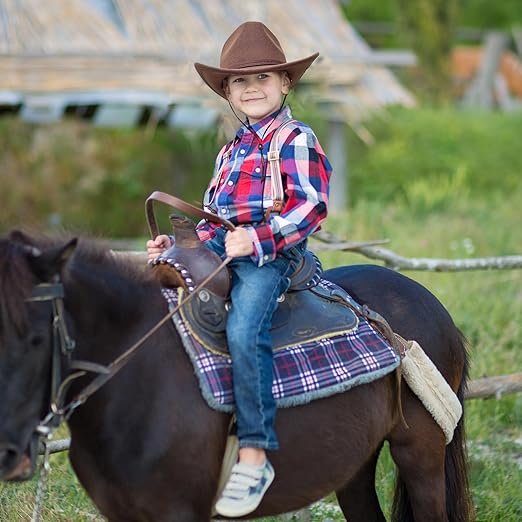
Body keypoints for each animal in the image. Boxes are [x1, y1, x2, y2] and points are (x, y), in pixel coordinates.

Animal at [0, 232, 472, 520]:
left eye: (37, 339)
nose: (7, 456)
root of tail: (432, 303)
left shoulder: (178, 511)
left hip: (421, 453)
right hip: (355, 465)